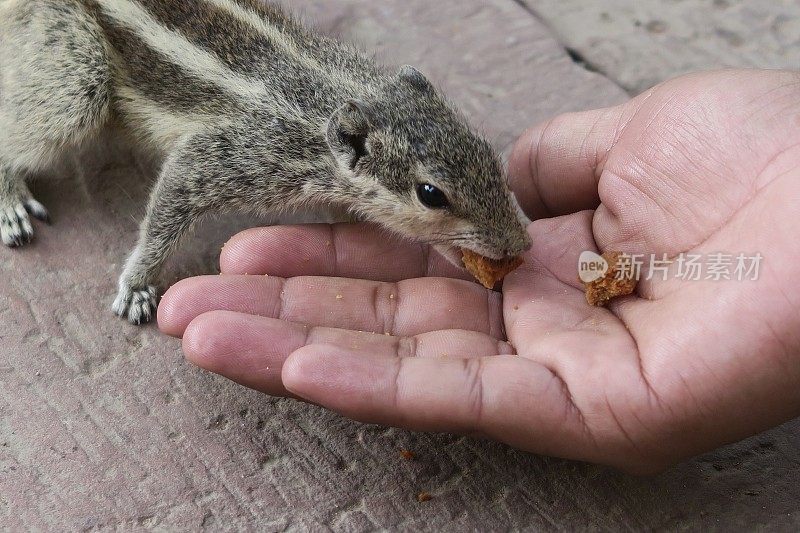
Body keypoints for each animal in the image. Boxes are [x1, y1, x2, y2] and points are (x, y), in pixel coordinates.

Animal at [0, 1, 532, 324]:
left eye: (487, 152)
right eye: (430, 194)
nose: (521, 244)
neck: (335, 92)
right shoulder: (232, 156)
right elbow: (171, 201)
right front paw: (137, 284)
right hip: (76, 74)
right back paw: (11, 201)